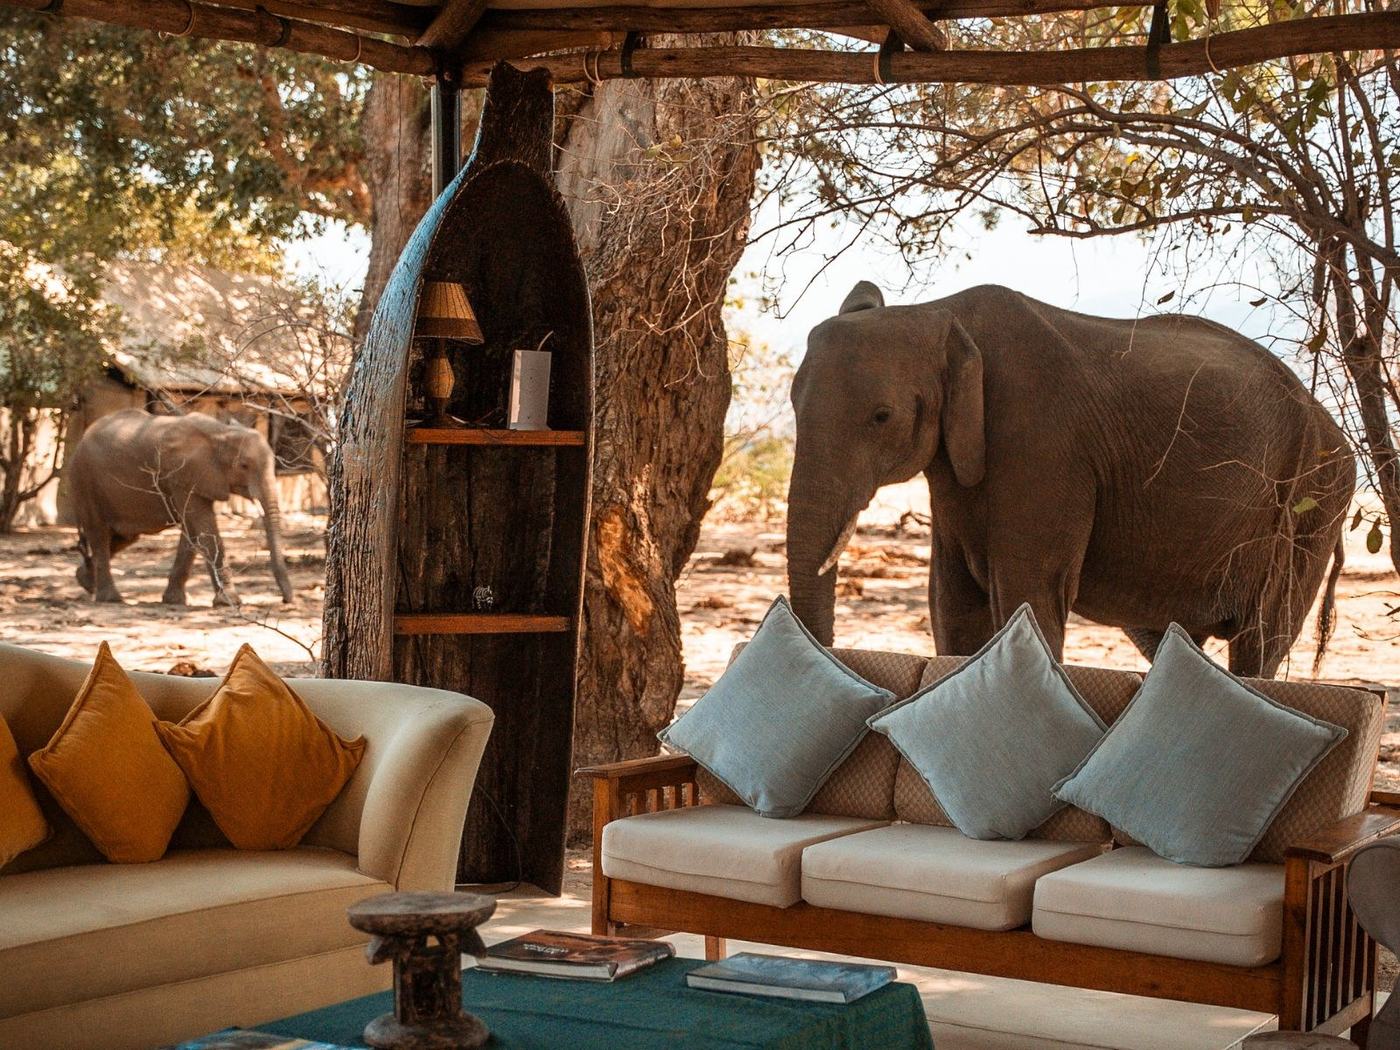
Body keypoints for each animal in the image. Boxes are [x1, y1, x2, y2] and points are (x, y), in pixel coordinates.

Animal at [67, 409, 295, 606]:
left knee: (124, 537)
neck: (220, 432)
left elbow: (192, 532)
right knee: (99, 534)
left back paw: (85, 581)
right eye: (244, 466)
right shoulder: (181, 475)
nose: (286, 600)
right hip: (85, 481)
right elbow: (204, 527)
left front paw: (175, 601)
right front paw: (229, 602)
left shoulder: (197, 478)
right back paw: (111, 598)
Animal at [787, 282, 1356, 678]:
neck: (939, 310)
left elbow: (1028, 595)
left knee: (1262, 639)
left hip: (1312, 501)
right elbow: (952, 608)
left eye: (881, 417)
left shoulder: (1041, 439)